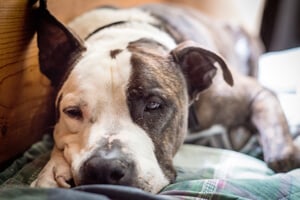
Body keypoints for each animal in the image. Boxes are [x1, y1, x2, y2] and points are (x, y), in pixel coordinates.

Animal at [31, 0, 300, 193]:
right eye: (72, 112)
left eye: (153, 105)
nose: (104, 169)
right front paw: (52, 169)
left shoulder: (256, 94)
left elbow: (279, 150)